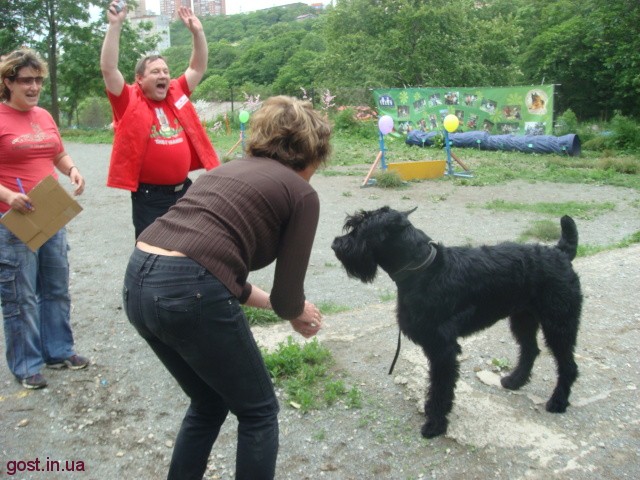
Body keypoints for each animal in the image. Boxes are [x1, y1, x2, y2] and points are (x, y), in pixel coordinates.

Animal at [331, 206, 582, 438]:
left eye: (361, 228)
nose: (336, 244)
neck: (423, 270)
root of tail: (560, 253)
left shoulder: (443, 349)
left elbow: (441, 387)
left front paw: (435, 423)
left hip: (559, 324)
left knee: (568, 365)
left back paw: (558, 401)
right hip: (523, 319)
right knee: (530, 350)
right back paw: (515, 380)